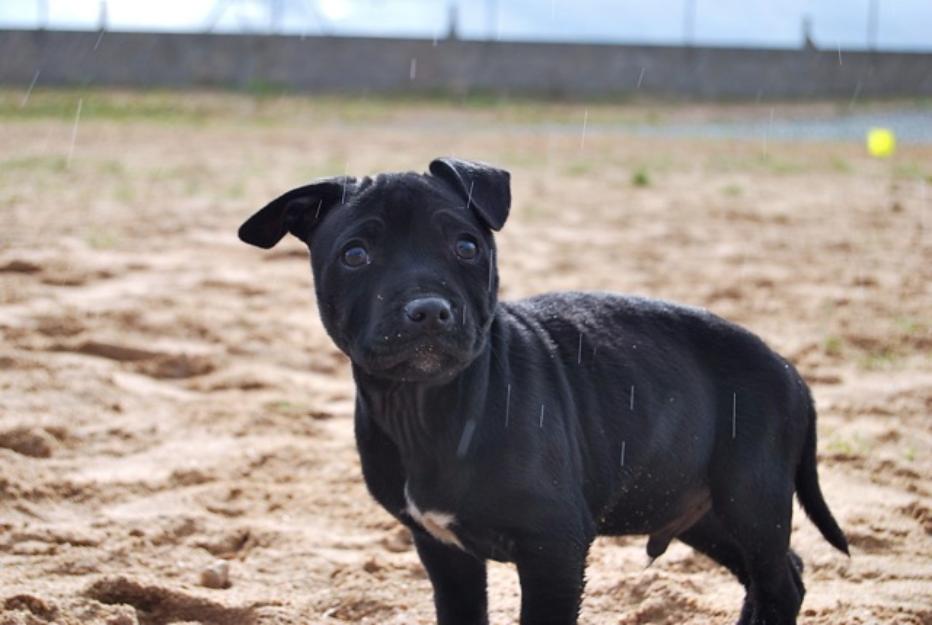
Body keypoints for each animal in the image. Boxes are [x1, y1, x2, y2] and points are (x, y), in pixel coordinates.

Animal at [237, 158, 848, 620]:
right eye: (355, 255)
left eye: (467, 247)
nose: (430, 311)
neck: (430, 406)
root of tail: (790, 371)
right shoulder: (444, 552)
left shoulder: (554, 547)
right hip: (699, 507)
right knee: (776, 576)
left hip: (751, 496)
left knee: (779, 582)